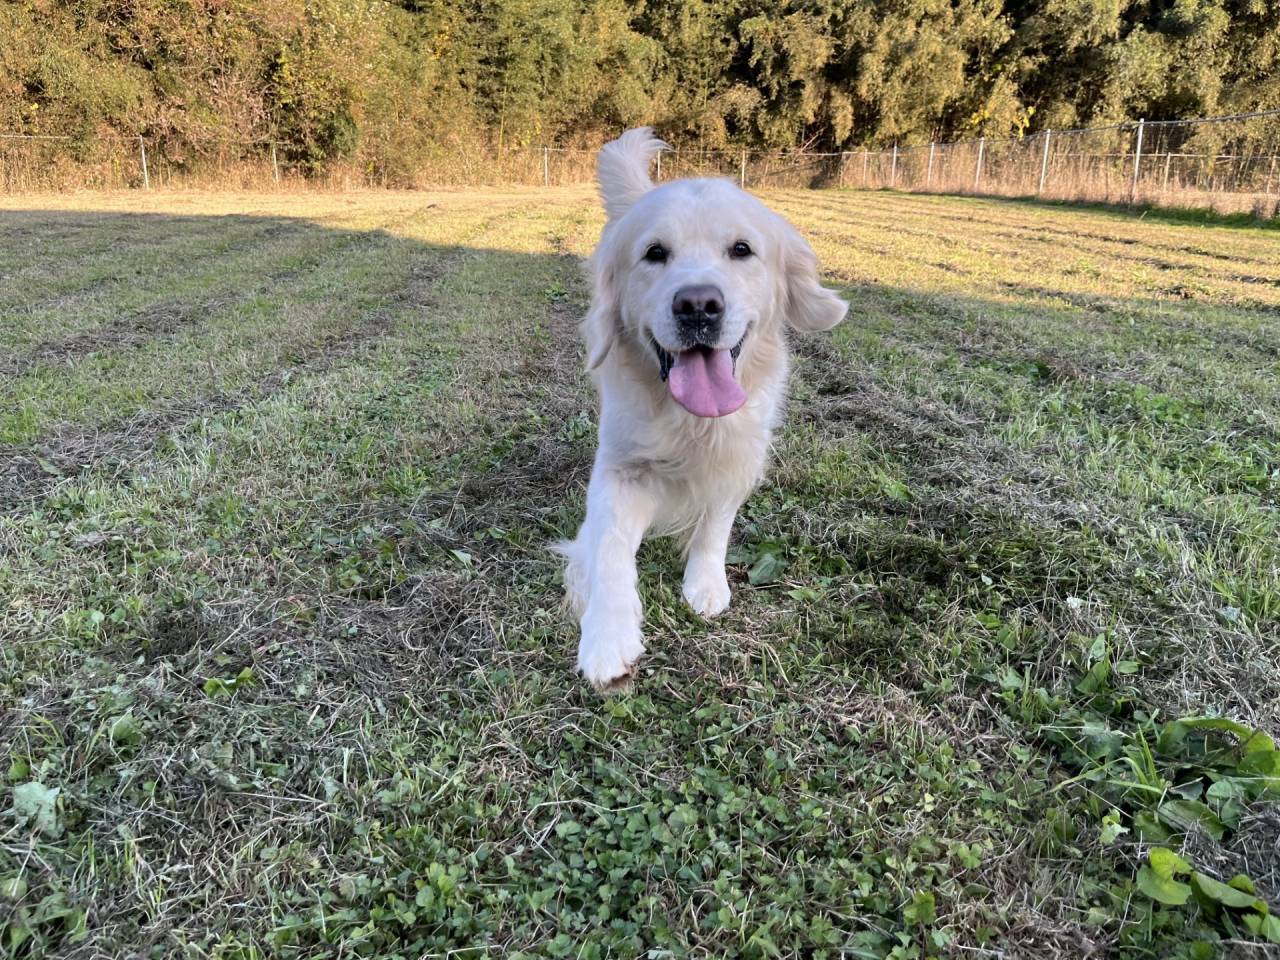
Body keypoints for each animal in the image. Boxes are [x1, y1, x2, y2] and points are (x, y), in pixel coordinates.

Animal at [556, 127, 848, 690]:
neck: (689, 420)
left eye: (741, 250)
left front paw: (706, 584)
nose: (698, 306)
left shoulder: (739, 458)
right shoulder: (620, 468)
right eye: (654, 253)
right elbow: (607, 549)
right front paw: (607, 636)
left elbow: (716, 523)